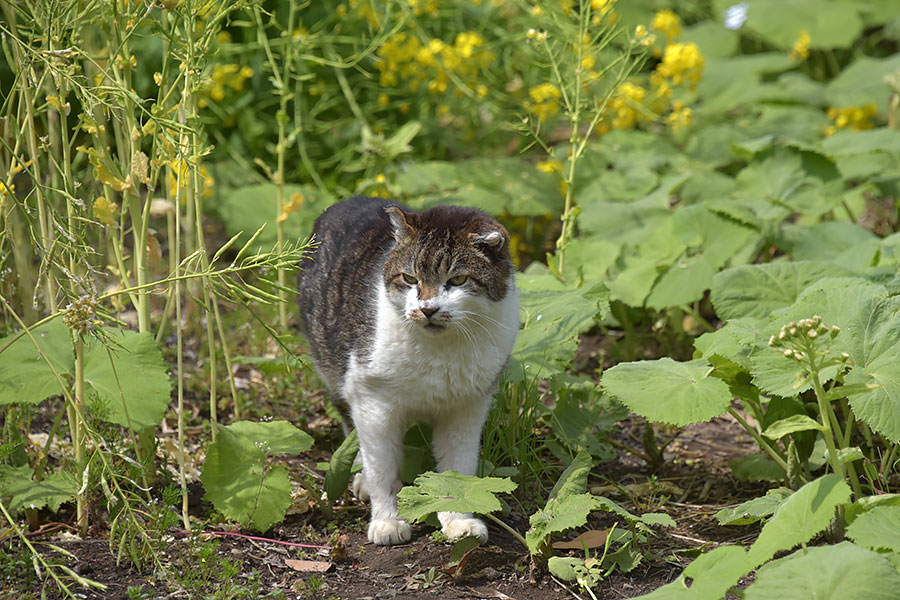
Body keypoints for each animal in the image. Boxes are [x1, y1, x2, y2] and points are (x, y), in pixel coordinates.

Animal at [298, 197, 520, 544]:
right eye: (410, 278)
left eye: (458, 280)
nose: (427, 309)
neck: (439, 352)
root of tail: (349, 201)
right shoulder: (372, 402)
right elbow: (382, 471)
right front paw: (387, 521)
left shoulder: (467, 409)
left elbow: (458, 469)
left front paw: (458, 520)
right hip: (333, 368)